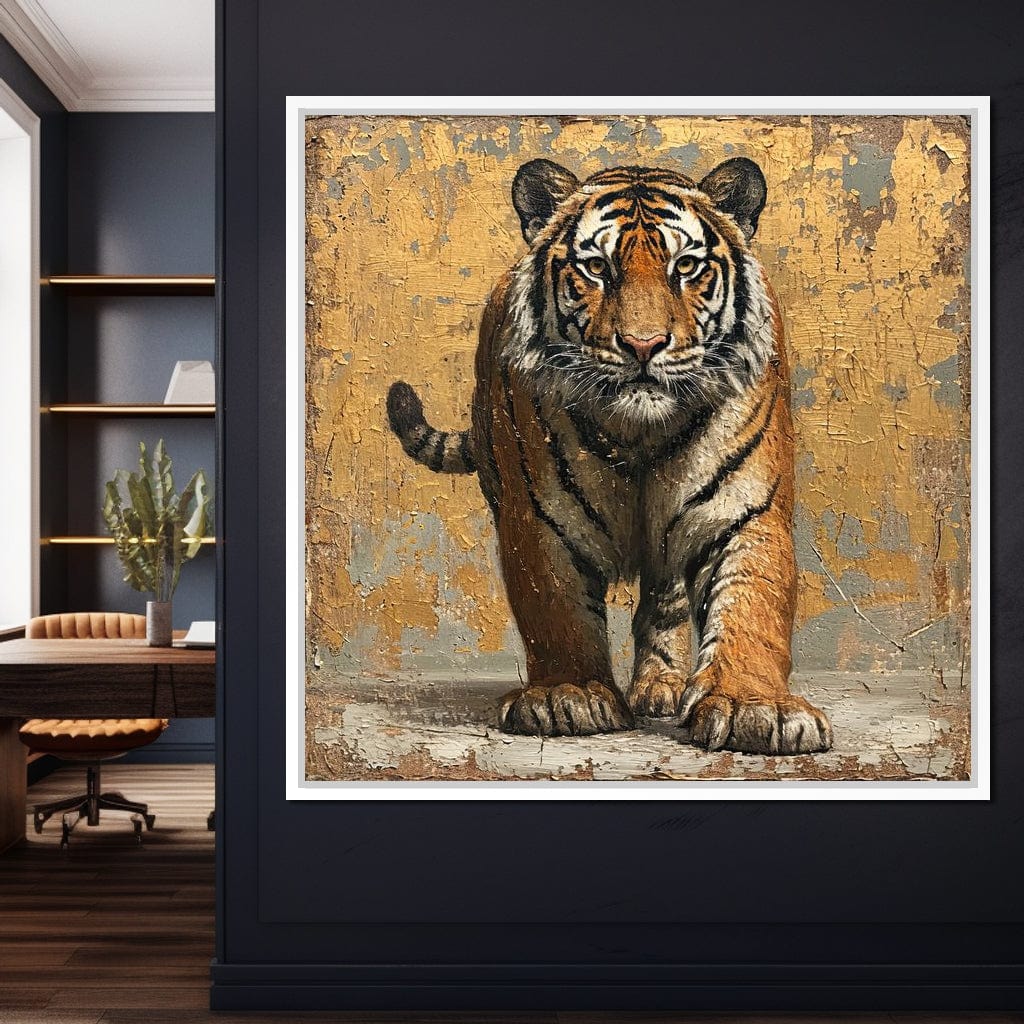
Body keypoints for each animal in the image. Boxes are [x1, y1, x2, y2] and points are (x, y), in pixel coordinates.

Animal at [386, 156, 833, 755]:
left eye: (686, 266)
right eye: (597, 268)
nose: (643, 345)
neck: (641, 433)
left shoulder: (745, 511)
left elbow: (752, 606)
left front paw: (753, 706)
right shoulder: (541, 521)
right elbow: (557, 612)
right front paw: (566, 696)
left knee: (665, 597)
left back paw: (662, 685)